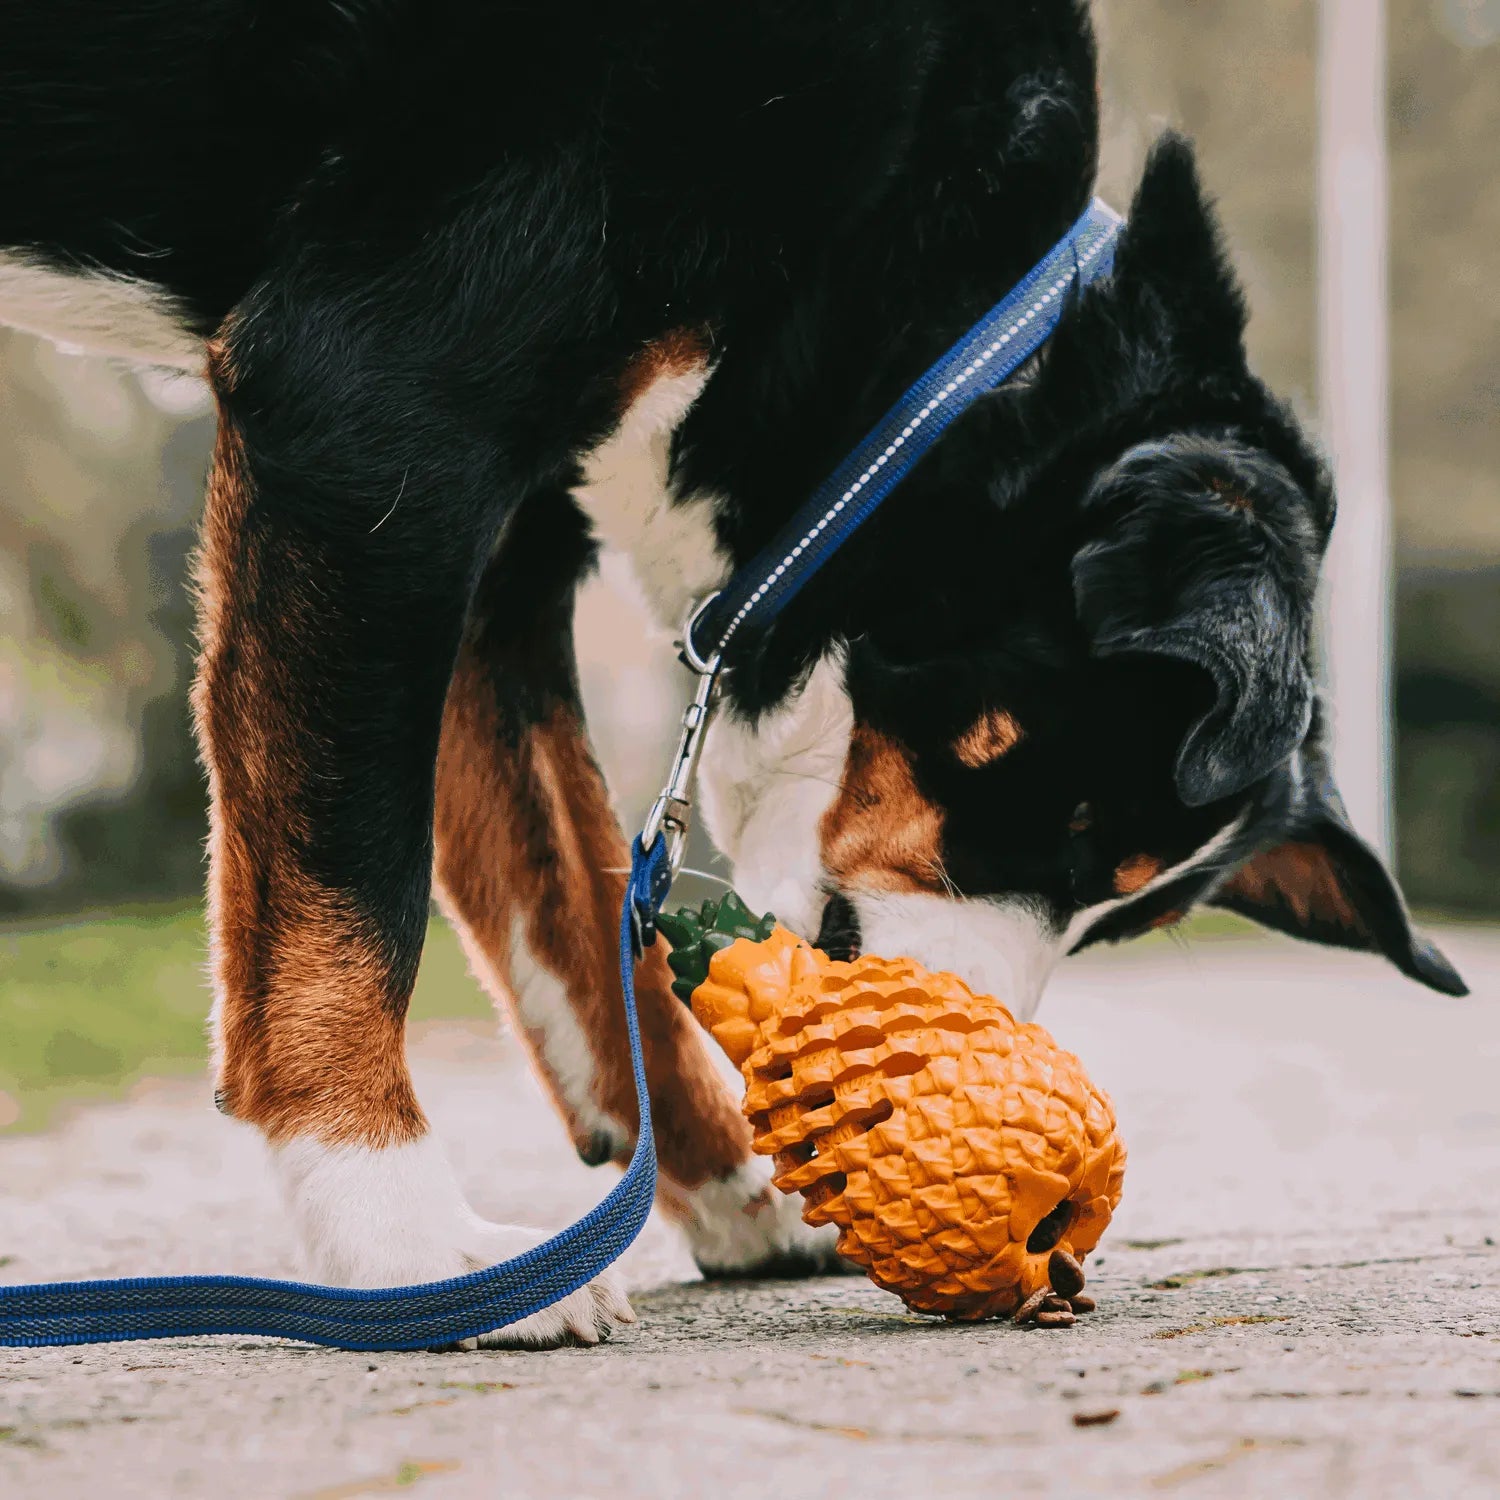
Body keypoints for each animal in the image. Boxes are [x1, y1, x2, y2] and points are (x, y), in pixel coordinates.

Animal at [2, 2, 1464, 1350]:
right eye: (1068, 816)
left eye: (1117, 911)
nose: (981, 1045)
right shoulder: (376, 415)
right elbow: (346, 897)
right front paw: (408, 1237)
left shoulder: (498, 551)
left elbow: (579, 905)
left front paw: (731, 1191)